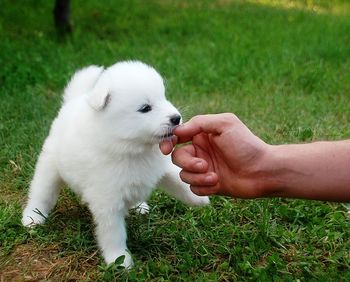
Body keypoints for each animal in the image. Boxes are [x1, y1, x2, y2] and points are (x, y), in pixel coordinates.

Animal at [22, 60, 208, 268]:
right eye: (145, 108)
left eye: (164, 97)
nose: (176, 118)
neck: (131, 148)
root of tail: (73, 101)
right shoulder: (108, 201)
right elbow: (114, 234)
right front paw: (120, 259)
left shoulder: (160, 167)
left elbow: (177, 179)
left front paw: (197, 197)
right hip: (50, 167)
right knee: (41, 194)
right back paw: (32, 217)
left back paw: (139, 206)